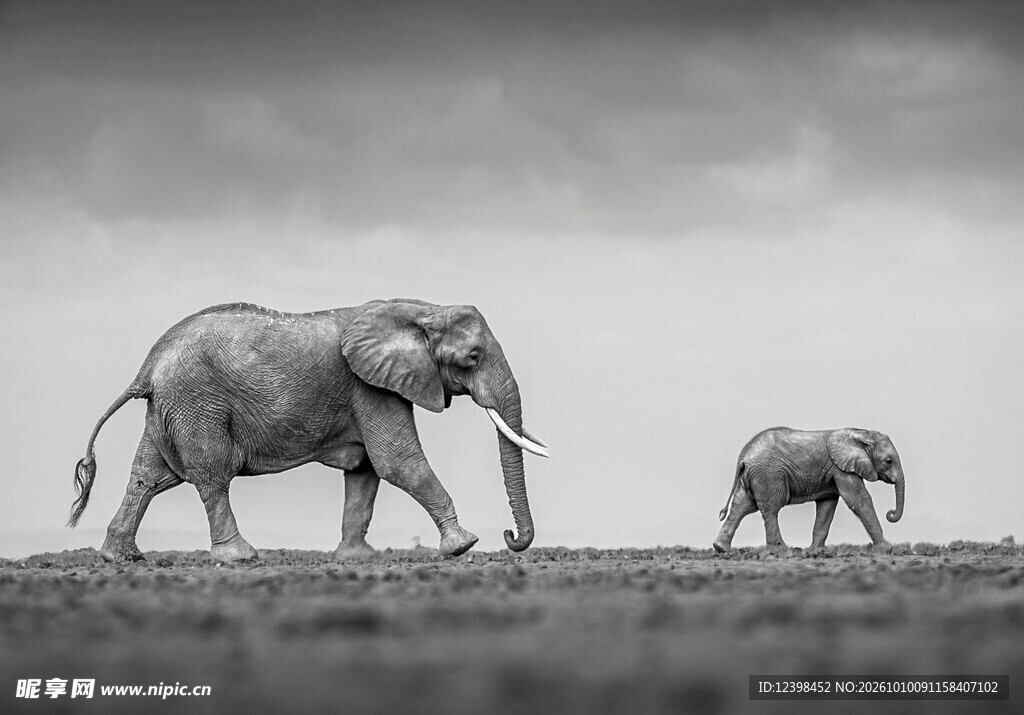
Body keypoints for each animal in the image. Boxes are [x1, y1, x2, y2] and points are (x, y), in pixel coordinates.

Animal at [68, 299, 548, 562]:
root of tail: (147, 367)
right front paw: (463, 545)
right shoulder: (370, 387)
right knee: (211, 476)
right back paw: (240, 557)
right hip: (196, 403)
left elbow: (365, 472)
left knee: (149, 476)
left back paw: (120, 556)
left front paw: (357, 558)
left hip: (169, 407)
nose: (510, 537)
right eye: (472, 358)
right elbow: (398, 463)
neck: (420, 310)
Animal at [713, 427, 905, 553]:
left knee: (741, 506)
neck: (861, 433)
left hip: (753, 476)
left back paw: (720, 548)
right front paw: (887, 548)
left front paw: (815, 551)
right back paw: (783, 550)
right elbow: (859, 499)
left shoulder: (834, 471)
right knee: (770, 508)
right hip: (768, 474)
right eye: (888, 461)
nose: (890, 513)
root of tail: (743, 456)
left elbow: (827, 506)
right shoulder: (841, 468)